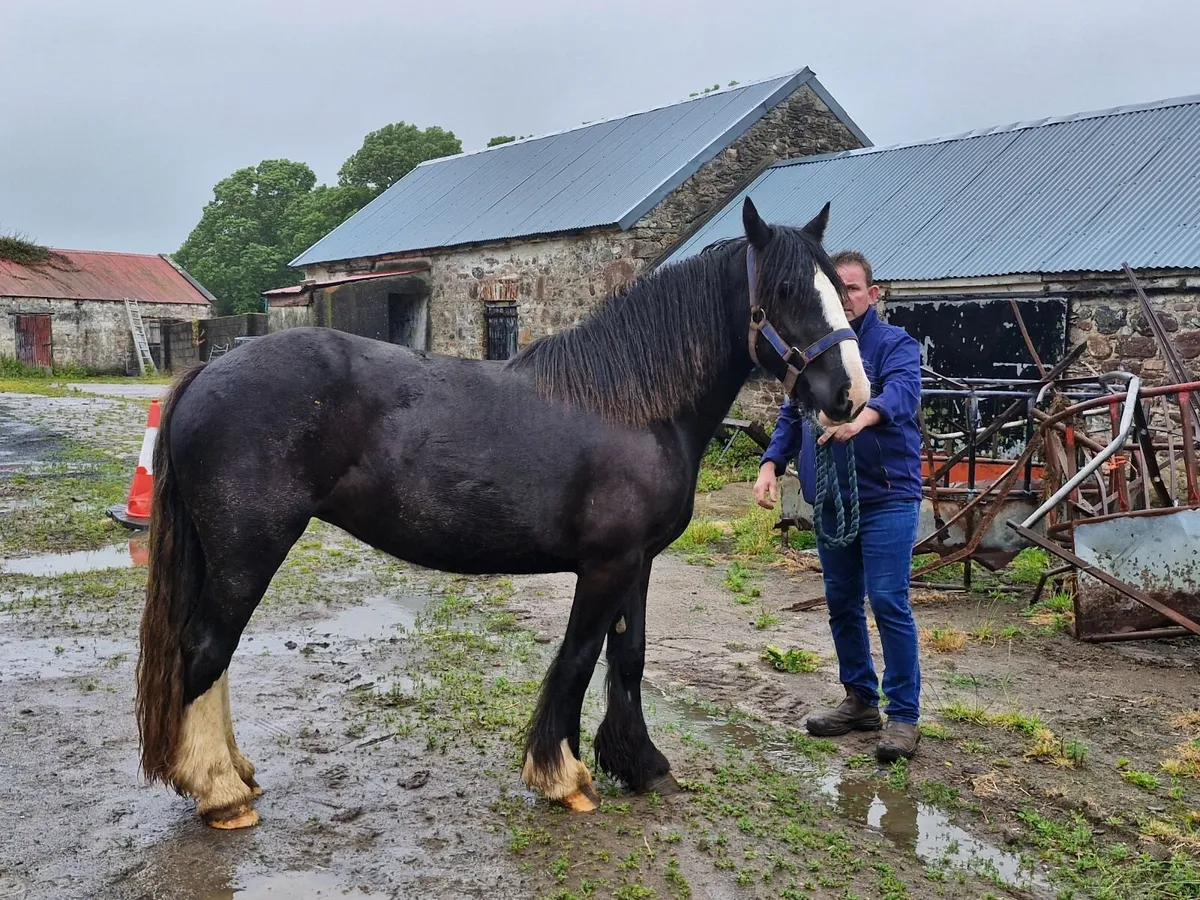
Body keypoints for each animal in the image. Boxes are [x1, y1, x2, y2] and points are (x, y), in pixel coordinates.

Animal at [134, 197, 872, 829]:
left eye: (840, 288)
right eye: (785, 291)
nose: (850, 394)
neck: (632, 405)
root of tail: (208, 372)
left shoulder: (638, 563)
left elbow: (628, 658)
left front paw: (641, 765)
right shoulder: (605, 566)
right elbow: (578, 659)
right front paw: (562, 777)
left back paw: (236, 775)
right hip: (247, 553)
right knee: (206, 650)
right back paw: (221, 793)